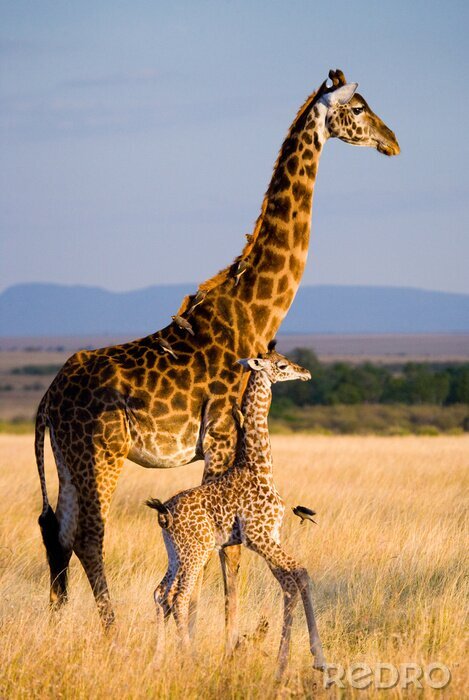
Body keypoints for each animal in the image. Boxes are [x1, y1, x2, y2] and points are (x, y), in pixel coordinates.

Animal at [35, 69, 399, 641]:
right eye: (359, 108)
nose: (393, 142)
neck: (256, 311)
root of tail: (47, 400)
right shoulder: (224, 439)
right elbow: (225, 552)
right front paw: (224, 639)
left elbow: (217, 549)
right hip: (100, 452)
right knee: (90, 536)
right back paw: (112, 634)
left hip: (67, 460)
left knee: (58, 533)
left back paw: (60, 625)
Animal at [146, 345, 325, 678]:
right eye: (282, 365)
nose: (306, 372)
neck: (258, 466)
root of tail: (164, 514)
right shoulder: (259, 536)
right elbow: (301, 573)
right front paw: (313, 657)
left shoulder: (271, 537)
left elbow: (291, 582)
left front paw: (291, 662)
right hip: (197, 550)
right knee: (178, 597)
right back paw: (190, 660)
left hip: (175, 552)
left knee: (160, 593)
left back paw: (158, 659)